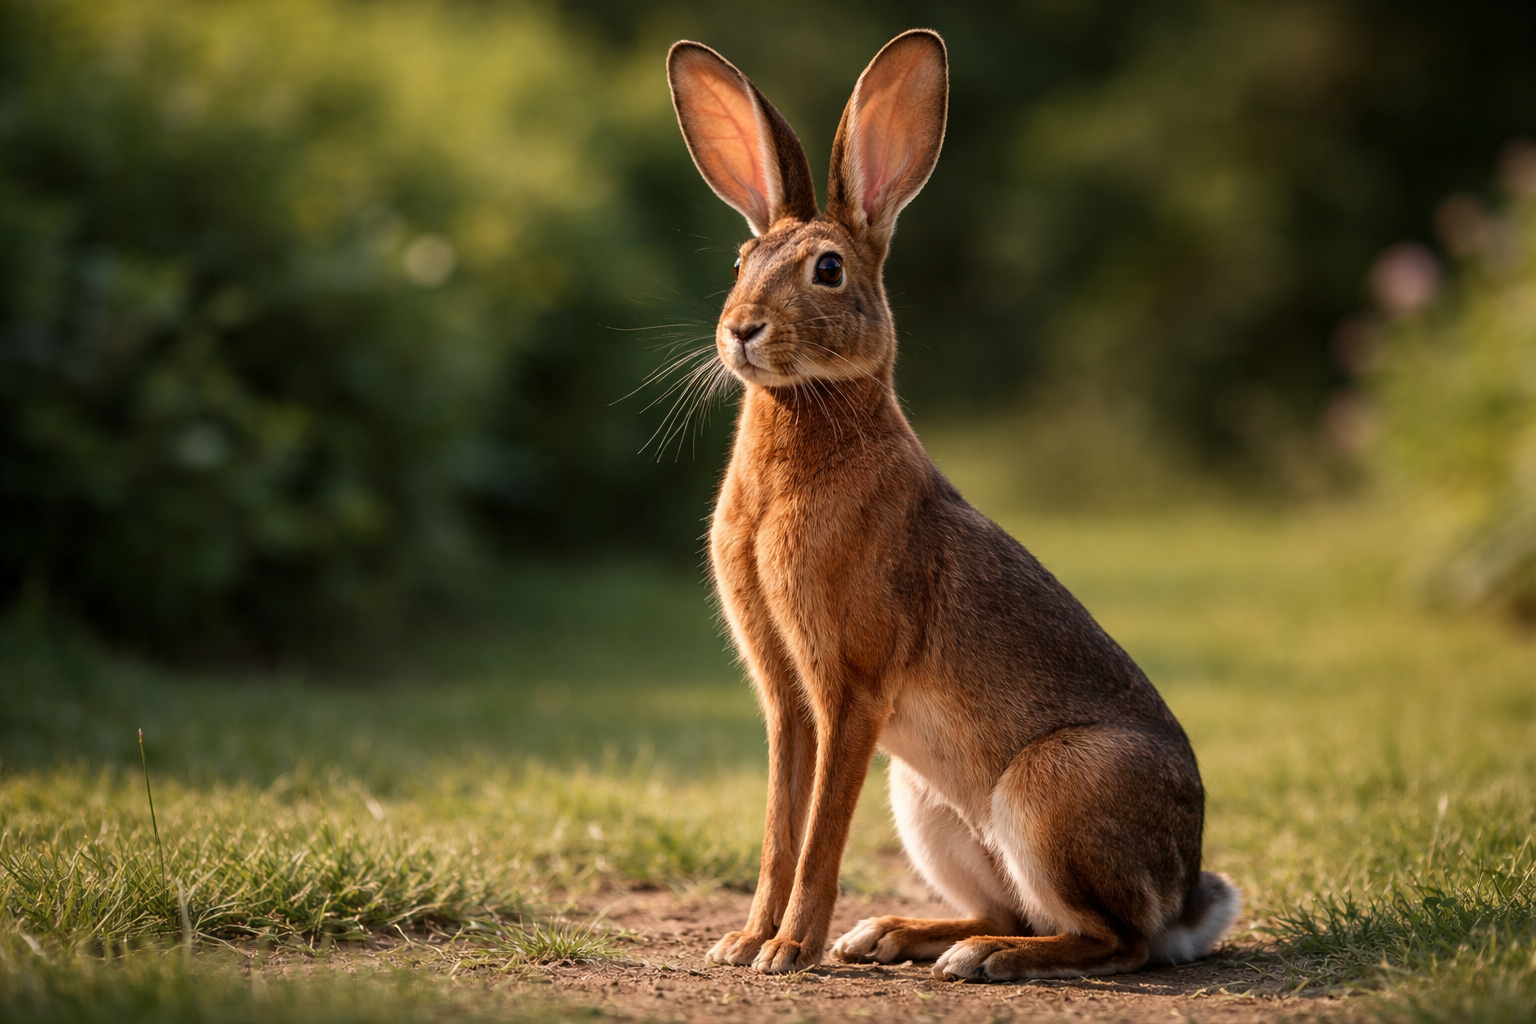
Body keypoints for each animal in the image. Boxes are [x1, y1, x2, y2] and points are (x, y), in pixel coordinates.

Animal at [666, 29, 1241, 981]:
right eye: (742, 263)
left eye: (828, 270)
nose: (741, 329)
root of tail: (1187, 890)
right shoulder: (788, 698)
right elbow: (780, 832)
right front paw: (744, 941)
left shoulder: (851, 688)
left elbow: (820, 836)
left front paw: (787, 951)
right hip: (926, 803)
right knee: (1021, 909)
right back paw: (895, 936)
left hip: (1048, 794)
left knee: (1115, 941)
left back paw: (984, 958)